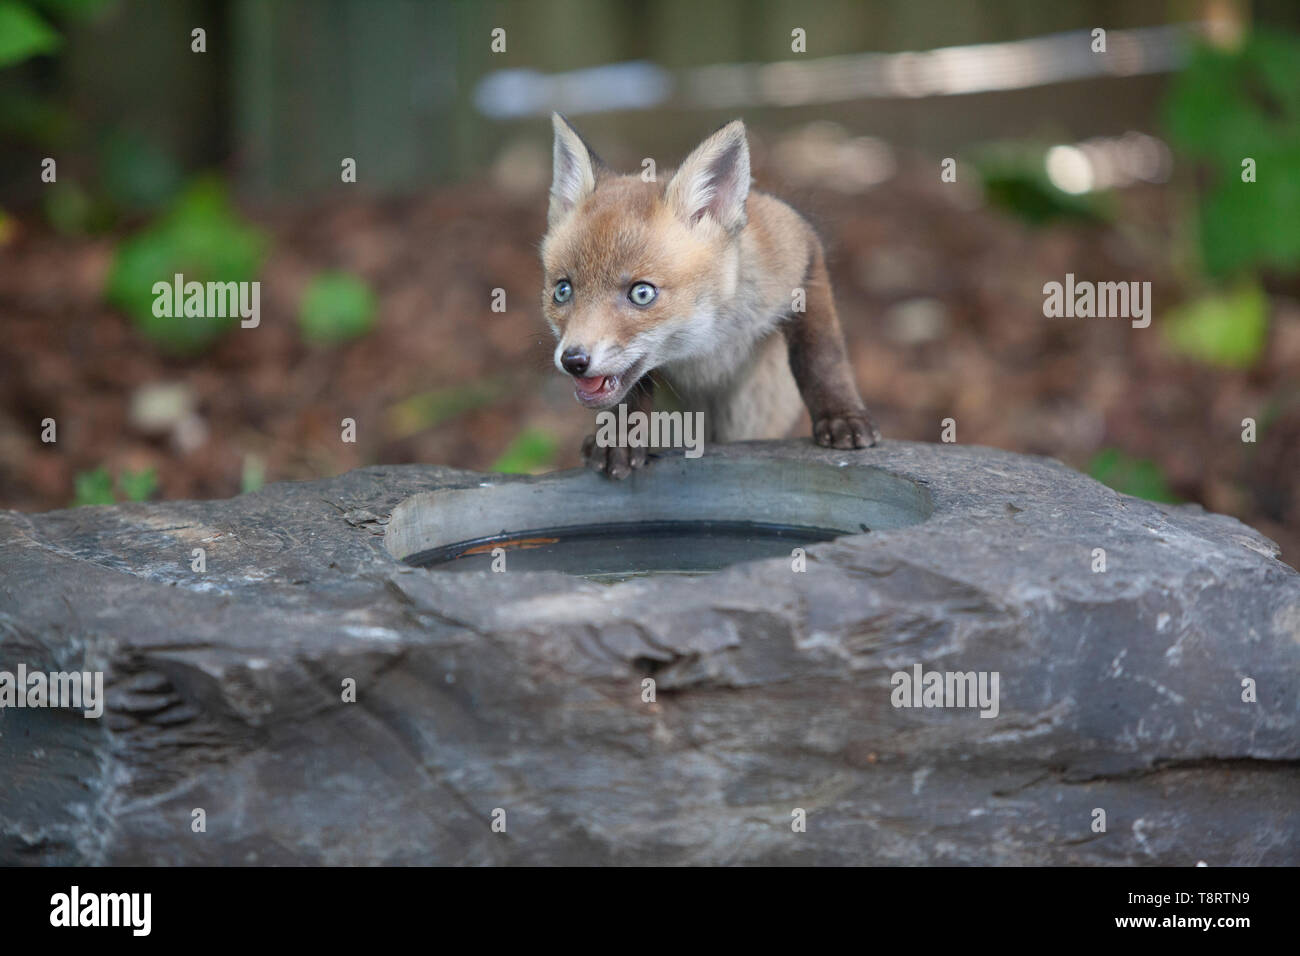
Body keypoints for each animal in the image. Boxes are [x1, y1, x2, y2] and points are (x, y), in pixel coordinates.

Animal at [543, 113, 878, 478]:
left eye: (642, 293)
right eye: (562, 290)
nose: (573, 361)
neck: (706, 343)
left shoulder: (802, 251)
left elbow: (821, 357)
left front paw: (841, 415)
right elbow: (630, 394)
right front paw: (619, 438)